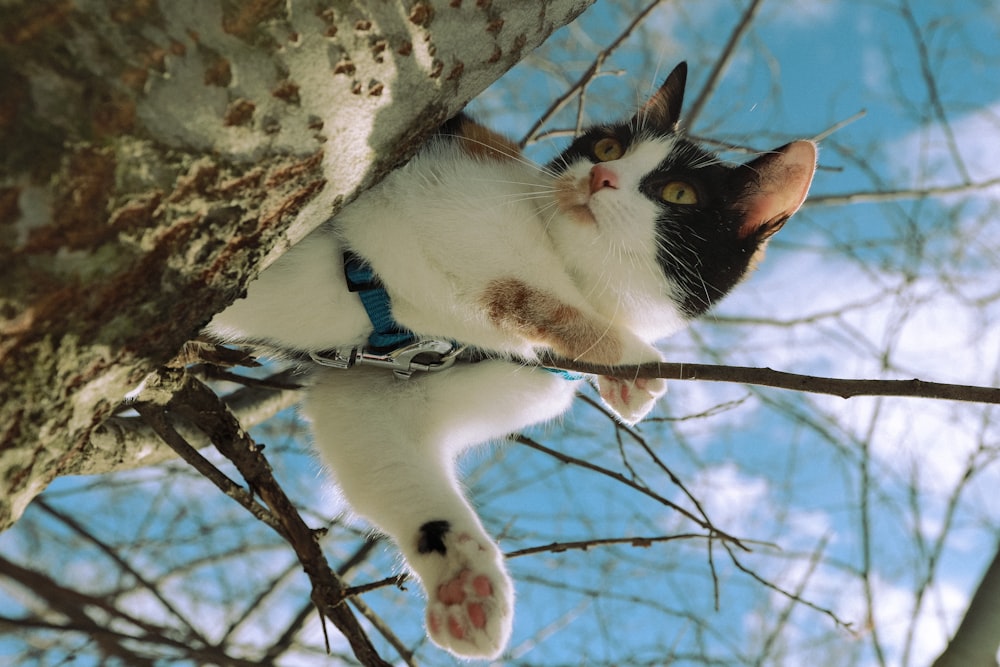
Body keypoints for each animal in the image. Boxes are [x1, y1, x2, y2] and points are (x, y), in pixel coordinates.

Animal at [207, 65, 816, 660]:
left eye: (679, 192)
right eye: (608, 146)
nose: (599, 176)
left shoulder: (380, 393)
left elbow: (372, 439)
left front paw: (464, 581)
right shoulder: (441, 194)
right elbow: (526, 294)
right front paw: (636, 364)